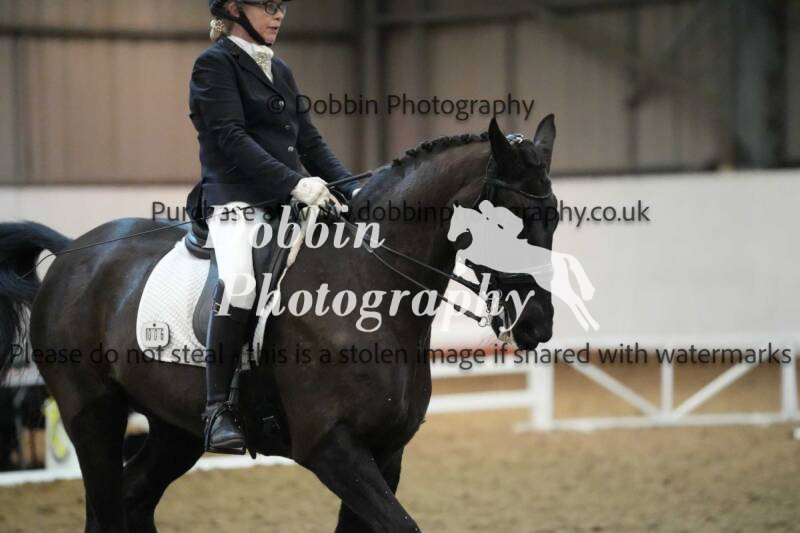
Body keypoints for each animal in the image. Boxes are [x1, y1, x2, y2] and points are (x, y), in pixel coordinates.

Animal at [0, 116, 558, 532]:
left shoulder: (386, 452)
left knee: (134, 500)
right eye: (508, 219)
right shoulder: (330, 447)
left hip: (173, 430)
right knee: (105, 512)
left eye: (553, 217)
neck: (365, 282)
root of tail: (73, 252)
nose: (538, 324)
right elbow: (404, 527)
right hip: (92, 415)